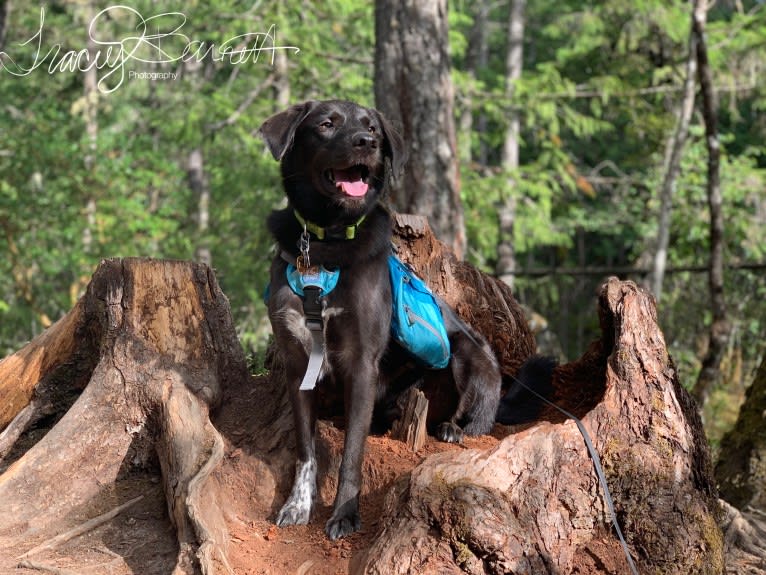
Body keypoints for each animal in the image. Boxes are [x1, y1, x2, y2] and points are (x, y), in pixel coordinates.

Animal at [260, 100, 508, 540]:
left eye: (372, 127)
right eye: (326, 124)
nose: (366, 142)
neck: (326, 242)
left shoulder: (361, 363)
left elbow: (351, 454)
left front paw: (344, 514)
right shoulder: (297, 363)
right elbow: (306, 450)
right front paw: (297, 504)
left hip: (469, 355)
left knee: (479, 417)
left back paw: (453, 428)